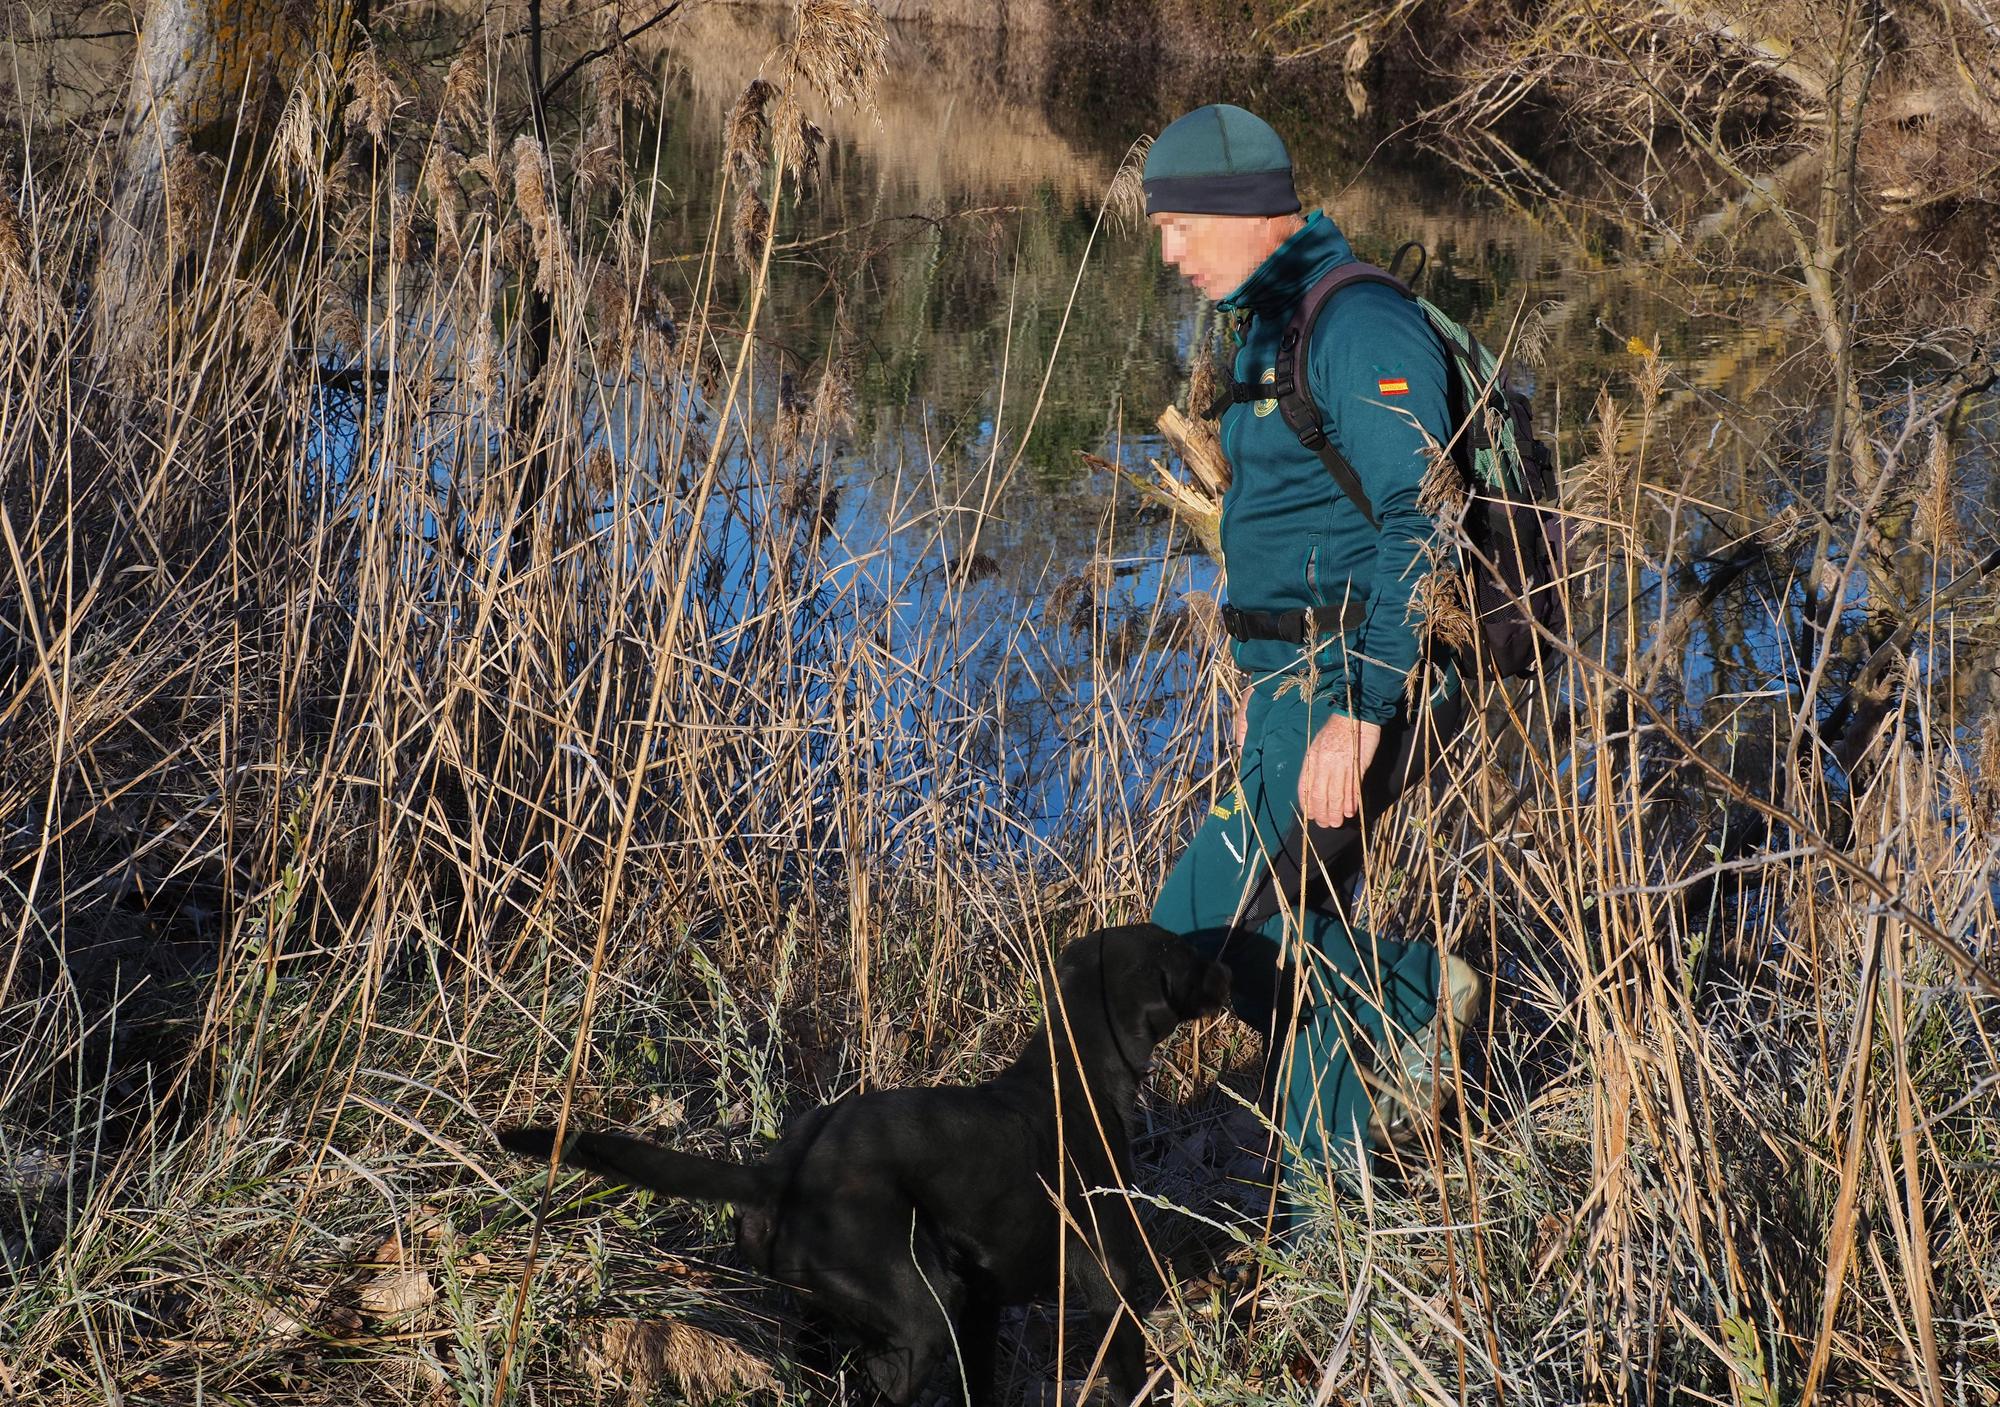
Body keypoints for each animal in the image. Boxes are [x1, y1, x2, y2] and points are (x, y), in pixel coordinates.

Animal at [496, 923, 1232, 1407]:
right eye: (1191, 954)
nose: (1232, 963)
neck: (1071, 1071)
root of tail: (781, 1172)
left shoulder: (984, 1306)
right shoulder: (1108, 1274)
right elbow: (1128, 1360)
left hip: (837, 1317)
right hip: (920, 1316)